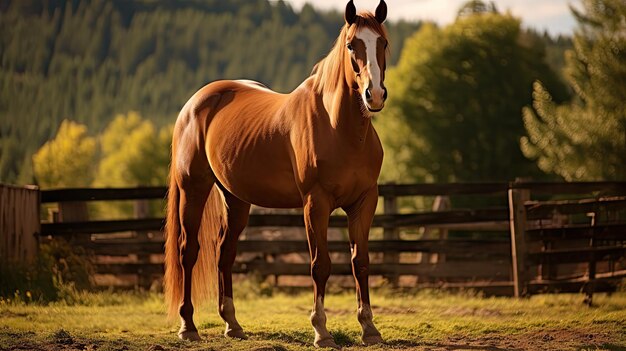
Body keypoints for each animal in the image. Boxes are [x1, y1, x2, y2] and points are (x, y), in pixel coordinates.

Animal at [163, 0, 388, 350]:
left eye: (383, 43)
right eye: (352, 45)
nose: (373, 94)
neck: (339, 128)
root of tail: (196, 103)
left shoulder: (365, 203)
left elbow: (360, 263)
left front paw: (369, 328)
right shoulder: (315, 203)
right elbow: (320, 265)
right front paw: (321, 331)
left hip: (236, 199)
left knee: (224, 253)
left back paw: (233, 325)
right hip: (193, 189)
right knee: (189, 251)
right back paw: (188, 326)